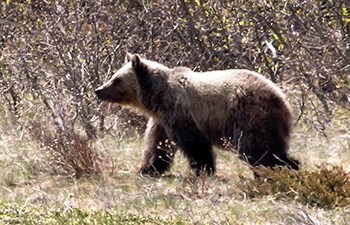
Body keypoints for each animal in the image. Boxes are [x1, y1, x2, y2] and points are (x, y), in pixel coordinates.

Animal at [95, 53, 300, 178]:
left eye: (116, 79)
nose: (99, 90)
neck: (156, 98)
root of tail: (281, 99)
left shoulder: (180, 111)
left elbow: (194, 144)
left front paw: (204, 170)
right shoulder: (161, 119)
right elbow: (157, 145)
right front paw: (147, 169)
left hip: (250, 115)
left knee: (257, 150)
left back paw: (278, 170)